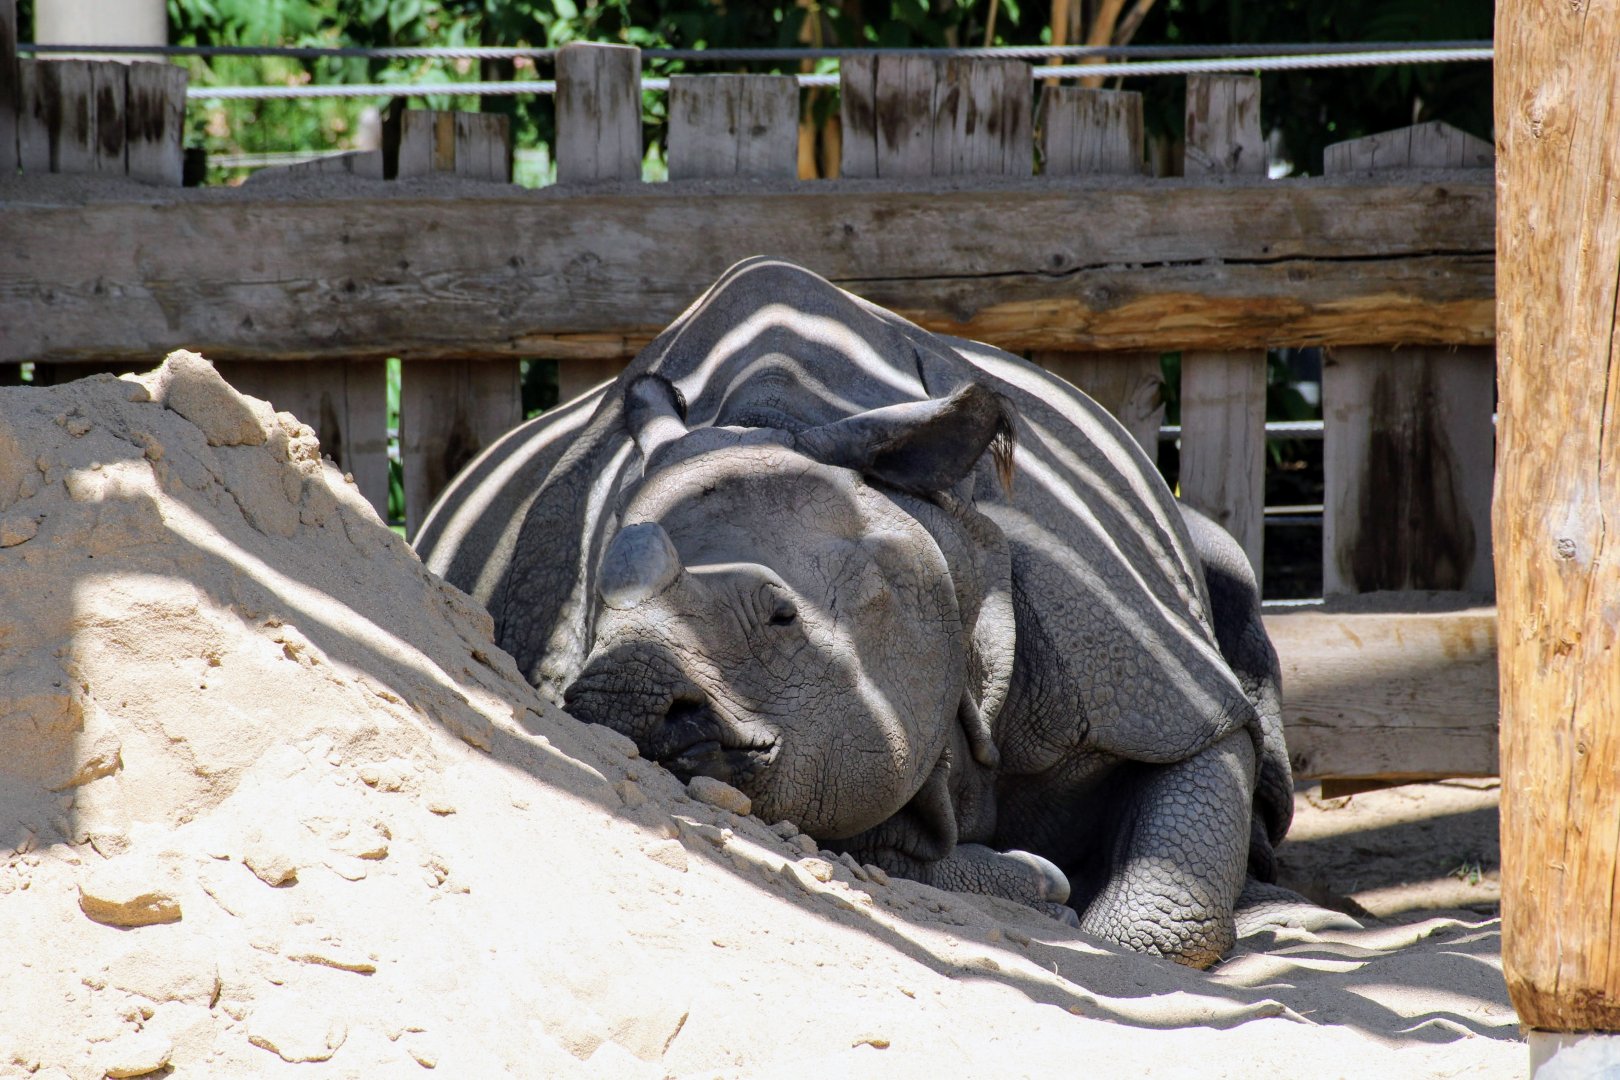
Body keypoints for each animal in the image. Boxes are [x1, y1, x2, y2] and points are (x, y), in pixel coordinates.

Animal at [415, 257, 1302, 968]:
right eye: (598, 620)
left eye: (782, 618)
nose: (615, 705)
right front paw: (1037, 884)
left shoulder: (1156, 680)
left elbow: (1172, 881)